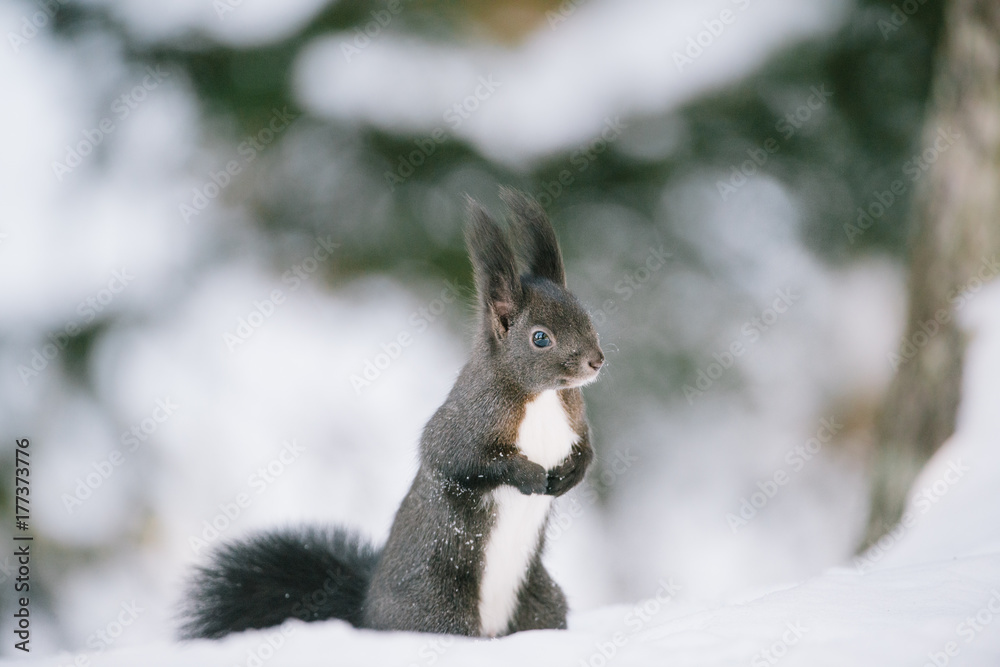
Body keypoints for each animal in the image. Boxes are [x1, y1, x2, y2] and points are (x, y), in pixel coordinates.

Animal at [180, 188, 604, 640]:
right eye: (540, 338)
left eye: (586, 315)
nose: (596, 361)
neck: (541, 397)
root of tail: (367, 615)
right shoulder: (466, 421)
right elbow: (459, 459)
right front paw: (528, 474)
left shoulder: (575, 420)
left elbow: (587, 450)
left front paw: (572, 473)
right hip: (438, 608)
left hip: (541, 604)